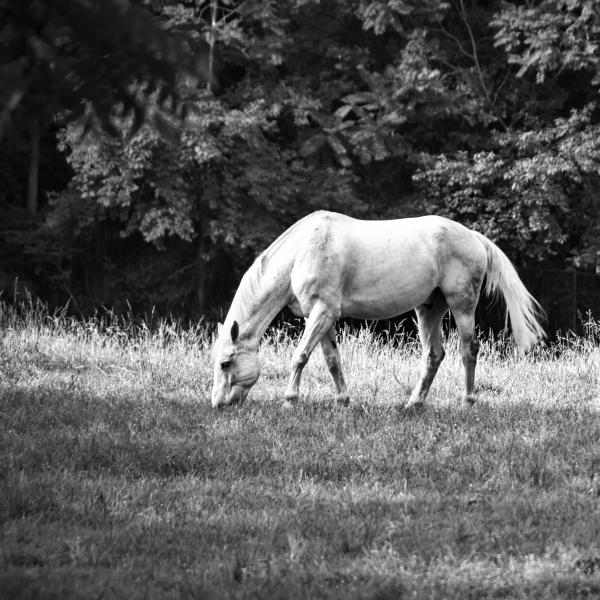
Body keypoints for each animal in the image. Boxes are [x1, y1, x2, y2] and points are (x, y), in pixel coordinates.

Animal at [210, 209, 544, 410]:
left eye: (226, 363)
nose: (217, 403)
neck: (303, 250)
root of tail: (473, 237)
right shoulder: (322, 317)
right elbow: (332, 360)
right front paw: (344, 401)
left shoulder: (322, 312)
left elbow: (300, 356)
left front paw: (290, 400)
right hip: (429, 309)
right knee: (434, 354)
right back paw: (413, 405)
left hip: (462, 305)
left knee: (468, 349)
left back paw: (467, 401)